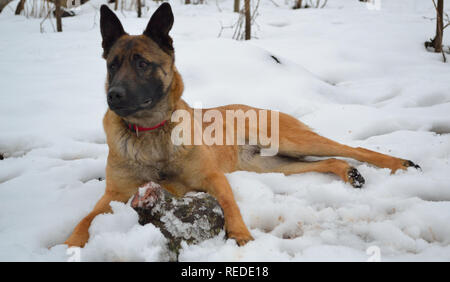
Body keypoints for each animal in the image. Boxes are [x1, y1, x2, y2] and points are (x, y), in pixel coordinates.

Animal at [65, 3, 420, 248]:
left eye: (142, 64)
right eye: (113, 65)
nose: (113, 95)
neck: (151, 134)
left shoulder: (214, 178)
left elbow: (229, 205)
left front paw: (241, 236)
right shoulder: (114, 195)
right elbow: (84, 221)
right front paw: (70, 245)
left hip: (293, 142)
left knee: (352, 148)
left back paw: (398, 163)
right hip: (273, 166)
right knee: (329, 160)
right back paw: (348, 172)